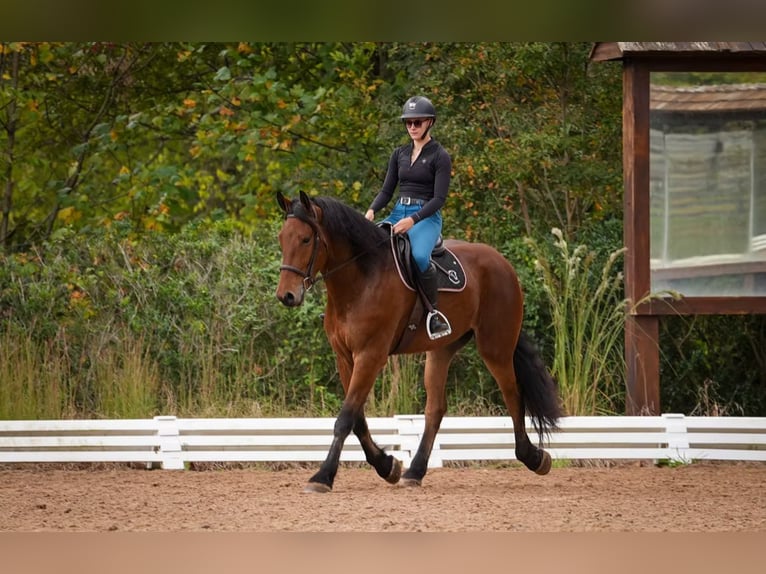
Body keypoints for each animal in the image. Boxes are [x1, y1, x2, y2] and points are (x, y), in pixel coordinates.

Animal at [275, 191, 562, 493]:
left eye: (306, 239)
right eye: (282, 238)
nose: (286, 296)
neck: (361, 279)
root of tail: (501, 261)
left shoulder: (370, 355)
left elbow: (345, 418)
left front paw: (323, 476)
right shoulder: (345, 357)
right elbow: (358, 419)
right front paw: (387, 466)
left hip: (496, 347)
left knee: (512, 393)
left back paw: (533, 457)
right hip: (442, 350)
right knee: (435, 409)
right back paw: (414, 471)